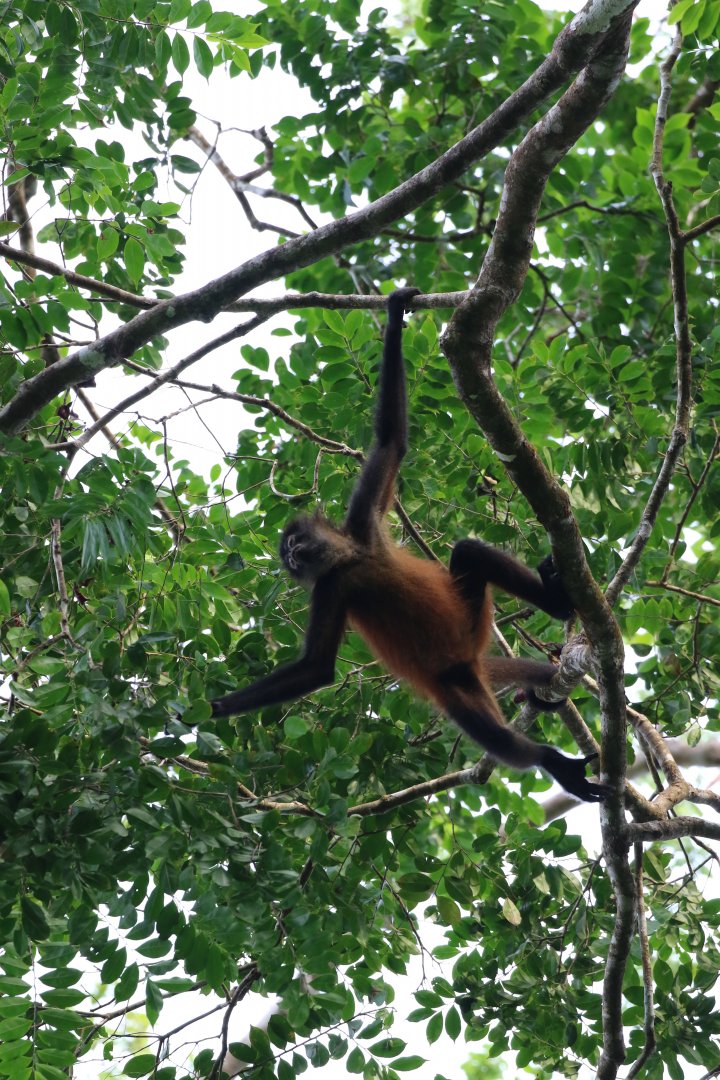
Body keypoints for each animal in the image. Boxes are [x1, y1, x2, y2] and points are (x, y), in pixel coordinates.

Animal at [211, 288, 606, 803]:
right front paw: (215, 708)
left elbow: (391, 442)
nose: (294, 557)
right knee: (493, 736)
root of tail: (469, 661)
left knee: (469, 551)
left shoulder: (362, 526)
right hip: (450, 683)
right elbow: (316, 669)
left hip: (470, 624)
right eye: (289, 558)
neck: (354, 559)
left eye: (295, 544)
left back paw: (558, 603)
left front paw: (396, 312)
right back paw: (553, 763)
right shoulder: (331, 585)